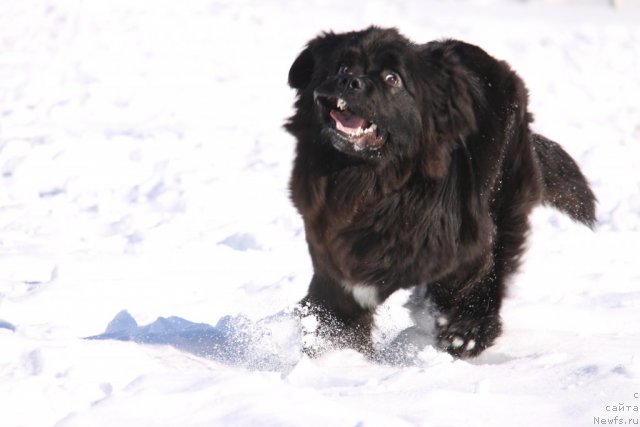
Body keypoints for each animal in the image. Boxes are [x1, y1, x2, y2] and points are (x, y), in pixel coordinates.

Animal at [284, 26, 596, 360]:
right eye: (342, 67)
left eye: (392, 78)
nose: (349, 81)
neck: (371, 184)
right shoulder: (335, 263)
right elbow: (335, 312)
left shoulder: (468, 239)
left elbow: (469, 278)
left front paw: (462, 332)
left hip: (505, 197)